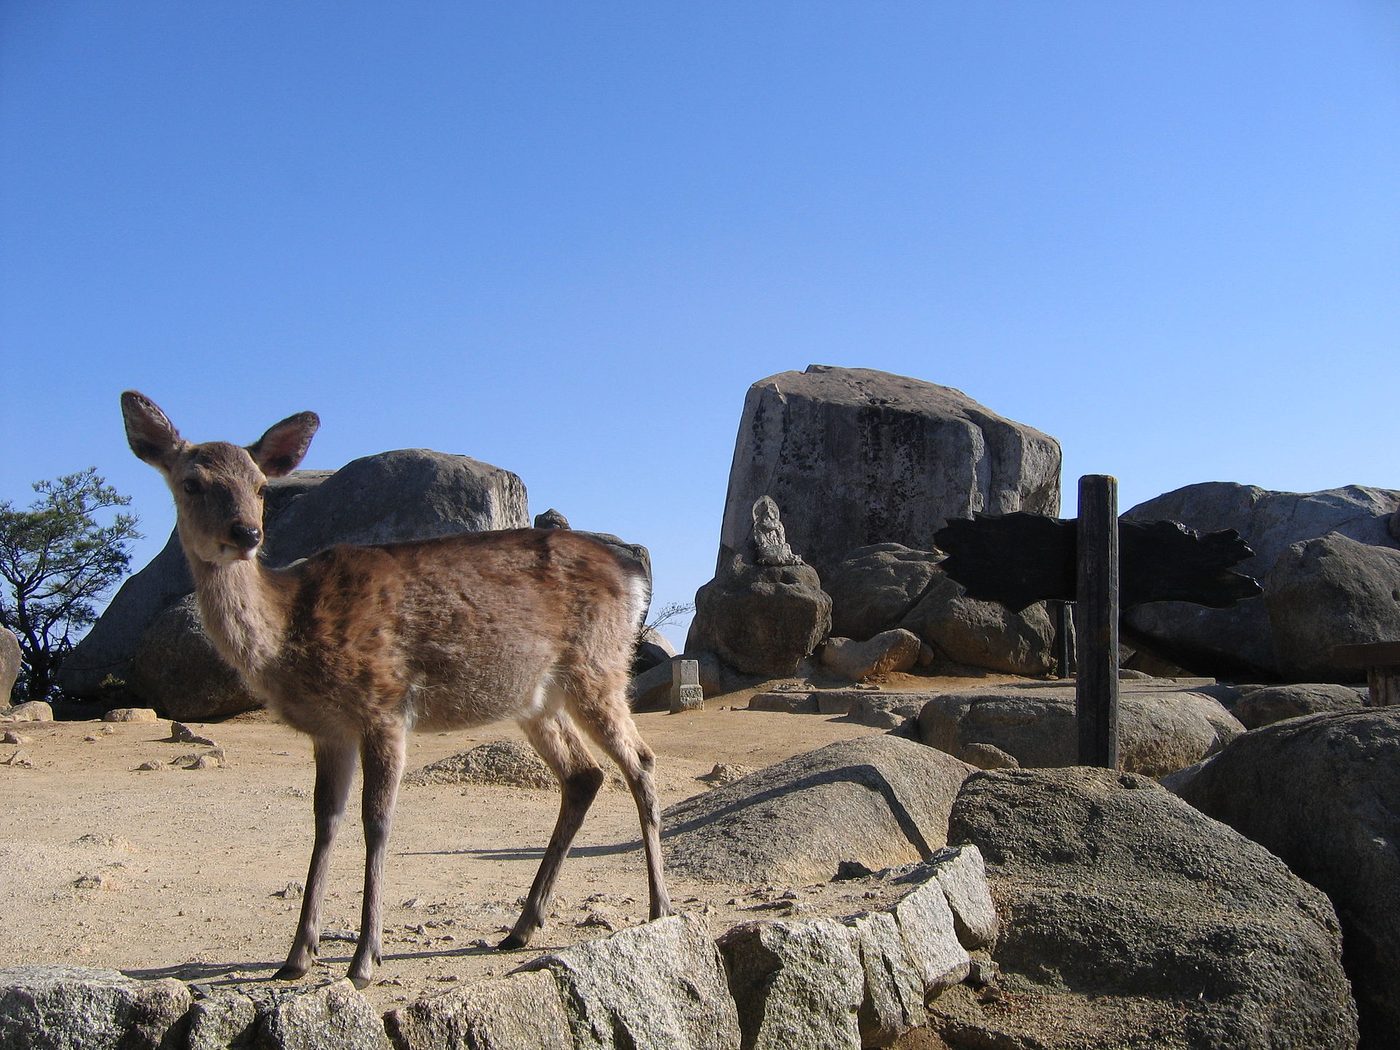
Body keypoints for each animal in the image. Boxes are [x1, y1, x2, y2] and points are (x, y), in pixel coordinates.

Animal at [119, 391, 672, 988]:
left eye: (261, 486)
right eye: (192, 483)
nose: (246, 534)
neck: (291, 629)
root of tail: (633, 576)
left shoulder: (384, 704)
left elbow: (376, 822)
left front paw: (364, 960)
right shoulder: (328, 730)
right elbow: (324, 822)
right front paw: (295, 958)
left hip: (599, 667)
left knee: (640, 760)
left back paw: (658, 907)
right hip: (536, 698)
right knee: (583, 774)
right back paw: (522, 926)